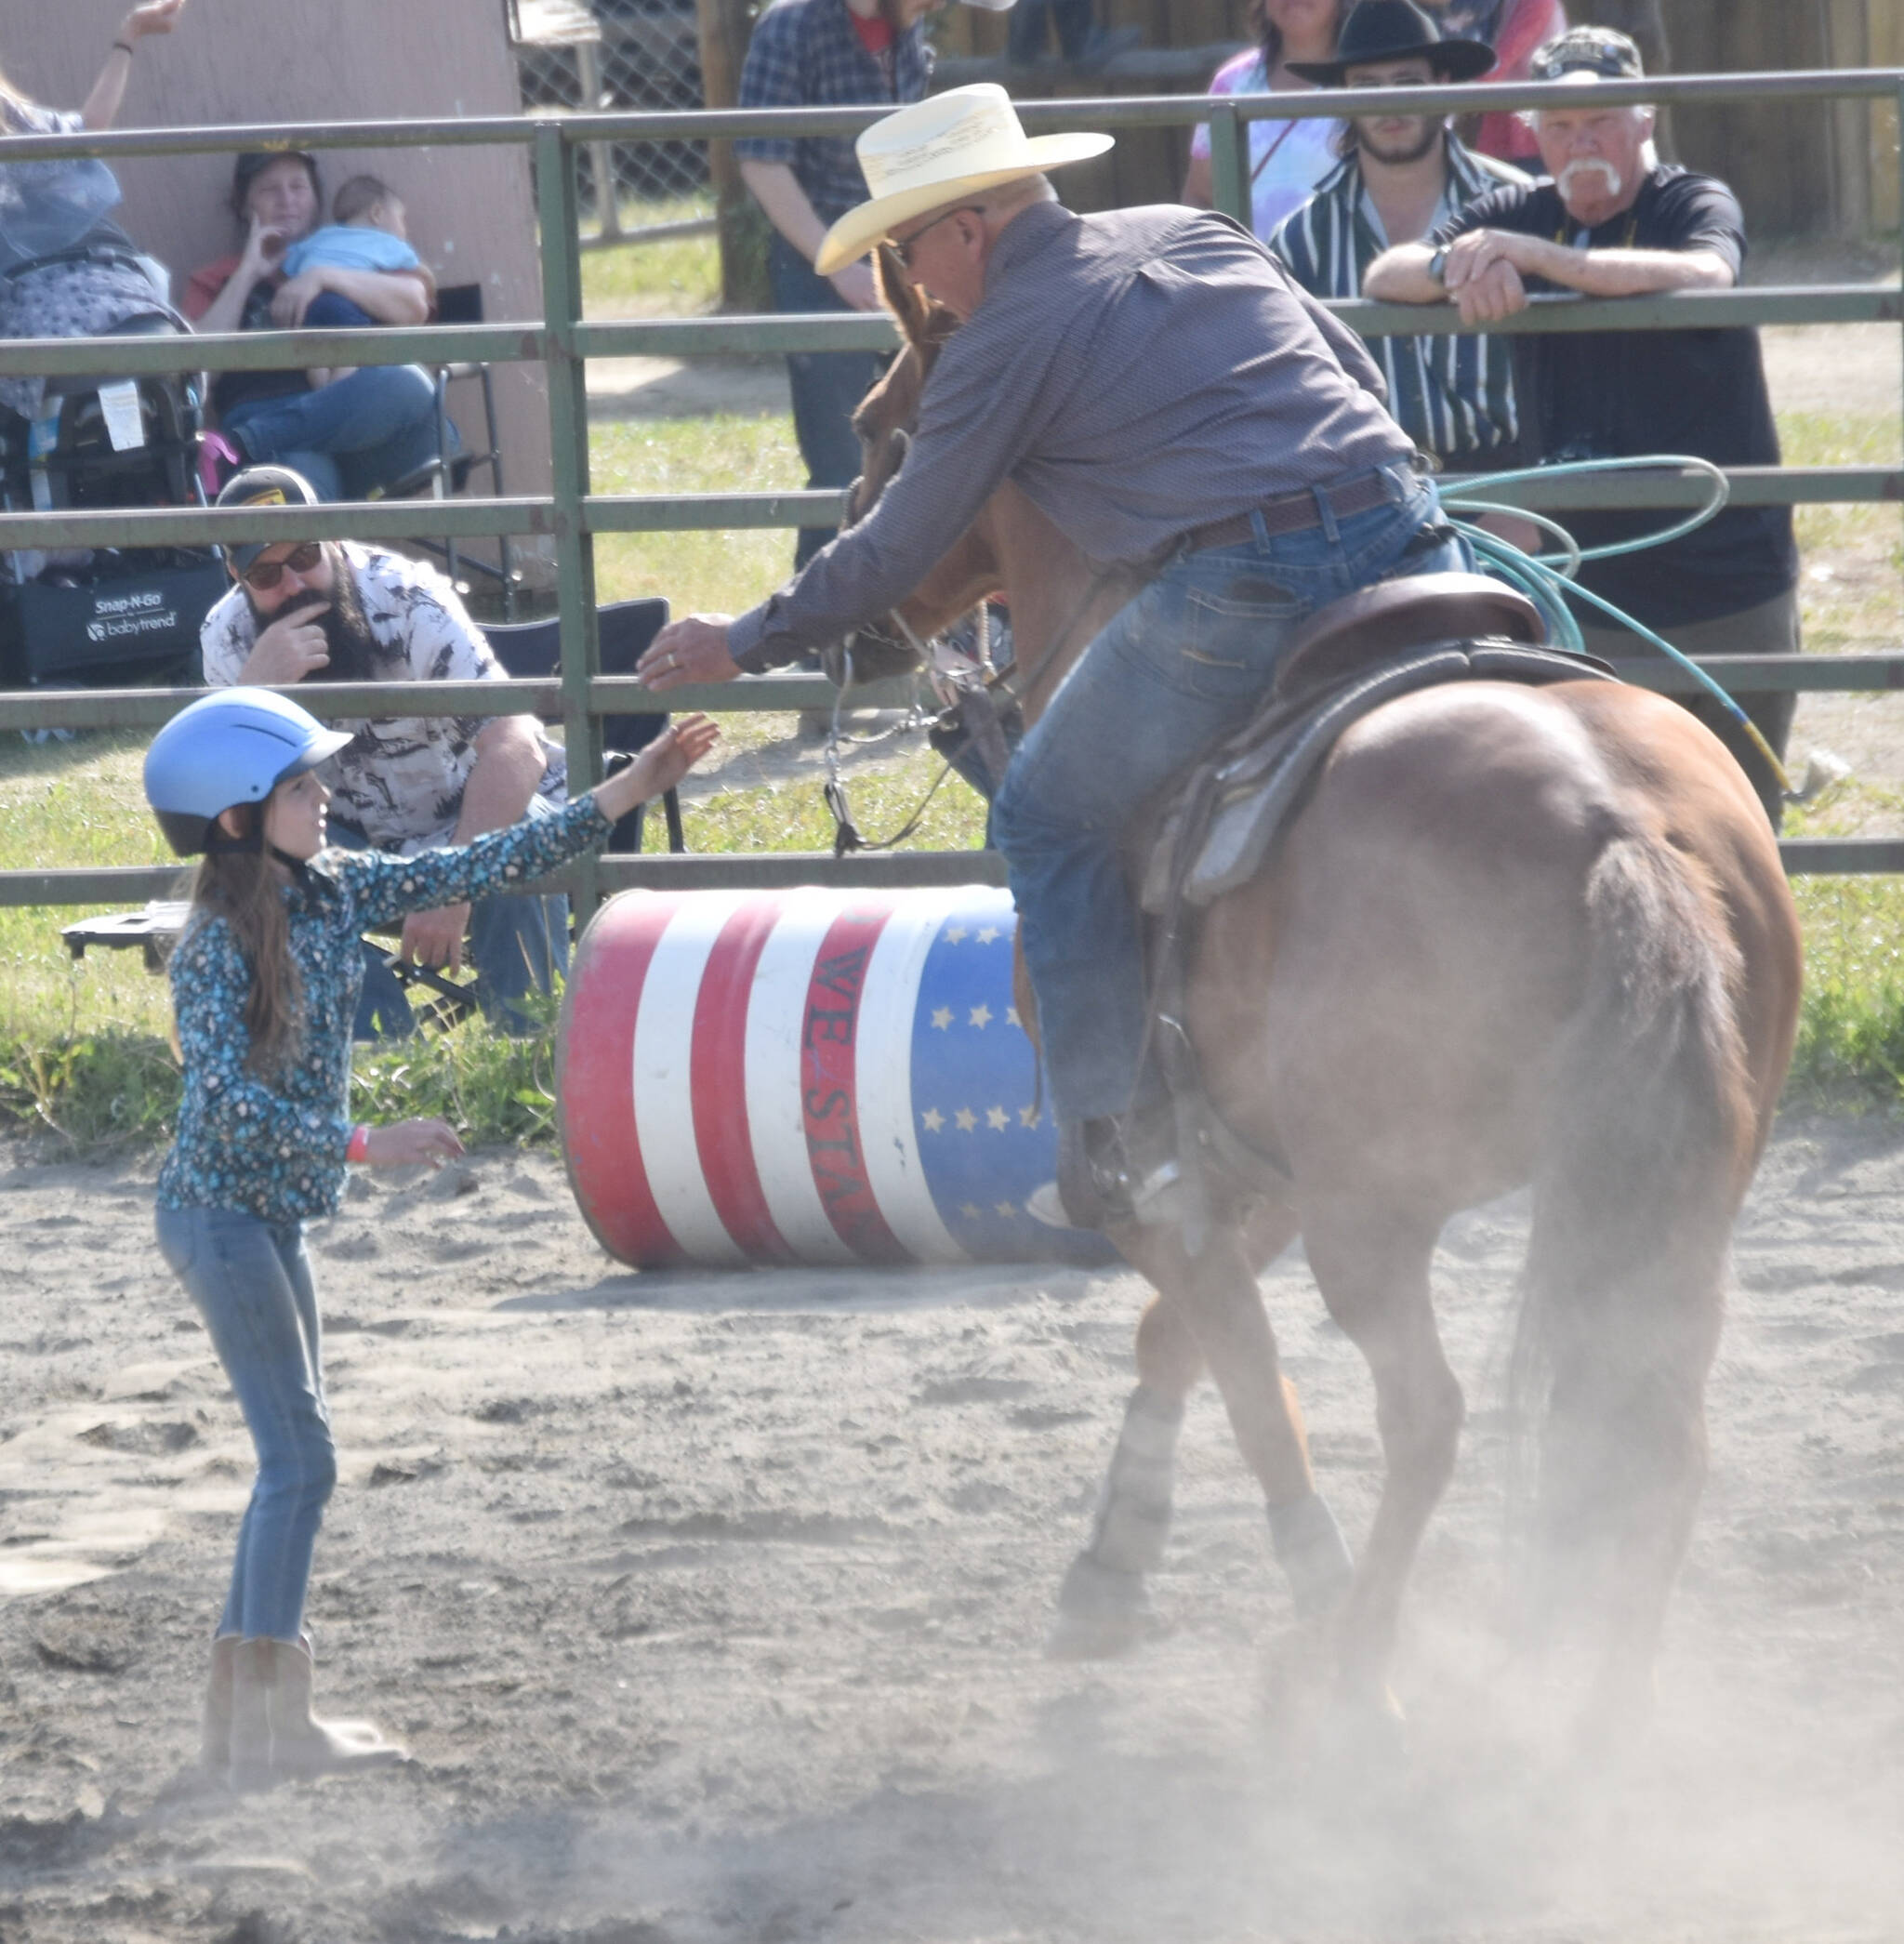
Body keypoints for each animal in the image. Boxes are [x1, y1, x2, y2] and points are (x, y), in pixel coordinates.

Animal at [848, 254, 1805, 1734]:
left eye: (879, 424)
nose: (846, 587)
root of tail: (1611, 818)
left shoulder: (1169, 1177)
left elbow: (1237, 1369)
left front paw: (1289, 1582)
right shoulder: (1258, 1163)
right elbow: (1170, 1339)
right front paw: (1113, 1558)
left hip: (1378, 1218)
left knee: (1430, 1417)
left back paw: (1356, 1671)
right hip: (1669, 1194)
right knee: (1653, 1426)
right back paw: (1599, 1714)